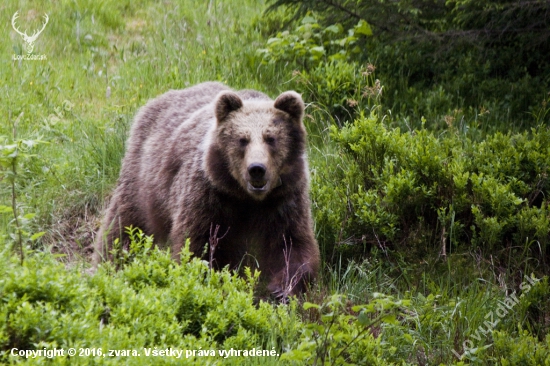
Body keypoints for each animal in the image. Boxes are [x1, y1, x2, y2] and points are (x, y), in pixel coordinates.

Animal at [93, 81, 322, 298]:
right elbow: (197, 245)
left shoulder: (284, 199)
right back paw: (110, 263)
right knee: (125, 224)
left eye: (271, 138)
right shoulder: (209, 196)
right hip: (144, 180)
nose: (257, 169)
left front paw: (283, 288)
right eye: (242, 139)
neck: (247, 199)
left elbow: (292, 242)